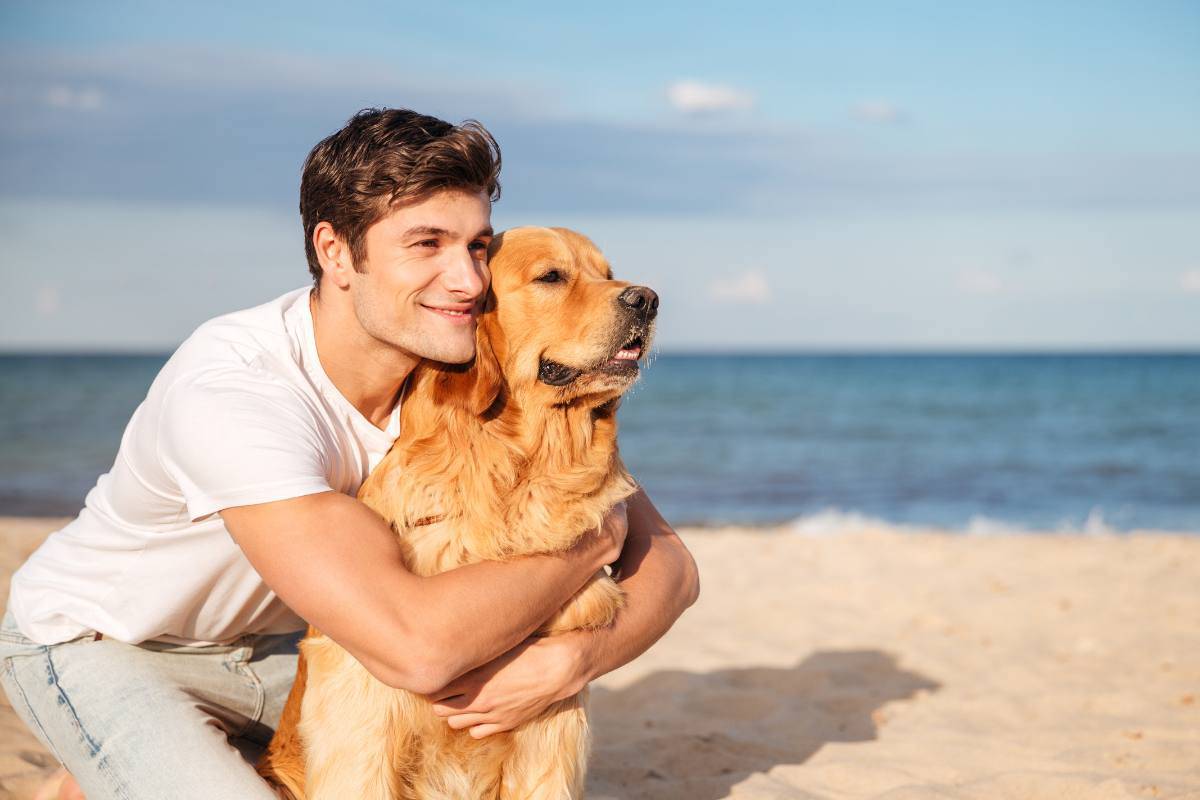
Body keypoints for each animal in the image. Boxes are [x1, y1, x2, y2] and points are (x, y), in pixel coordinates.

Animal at [256, 226, 662, 800]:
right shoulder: (363, 717)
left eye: (608, 274)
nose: (647, 299)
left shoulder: (552, 726)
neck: (518, 471)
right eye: (551, 276)